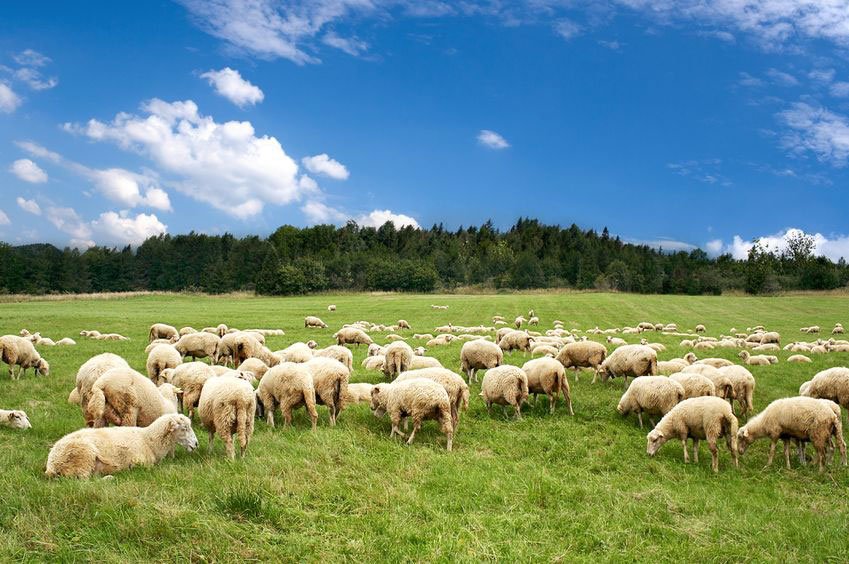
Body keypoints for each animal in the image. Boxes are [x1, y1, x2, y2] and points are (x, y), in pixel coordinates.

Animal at [45, 413, 198, 479]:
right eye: (184, 428)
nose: (196, 444)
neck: (149, 440)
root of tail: (51, 463)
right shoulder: (140, 463)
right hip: (84, 457)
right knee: (83, 480)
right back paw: (109, 477)